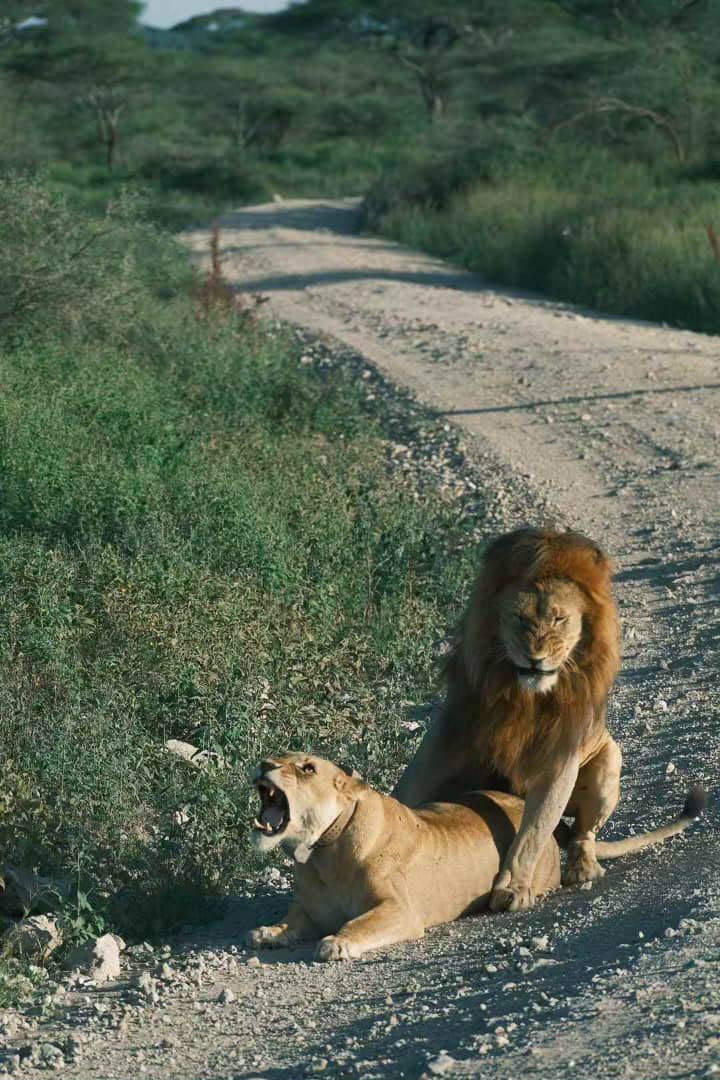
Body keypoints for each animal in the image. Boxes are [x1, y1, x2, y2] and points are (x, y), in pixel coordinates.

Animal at [246, 753, 706, 961]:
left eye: (307, 768)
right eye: (278, 756)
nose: (264, 763)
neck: (322, 853)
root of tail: (554, 828)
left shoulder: (400, 910)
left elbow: (359, 923)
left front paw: (337, 943)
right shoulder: (308, 911)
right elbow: (289, 924)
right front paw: (266, 932)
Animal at [393, 527, 626, 912]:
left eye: (559, 619)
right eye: (520, 619)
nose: (535, 657)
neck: (524, 698)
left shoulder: (558, 760)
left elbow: (533, 832)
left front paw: (514, 888)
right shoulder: (450, 740)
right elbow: (408, 797)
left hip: (609, 761)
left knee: (582, 833)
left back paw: (583, 868)